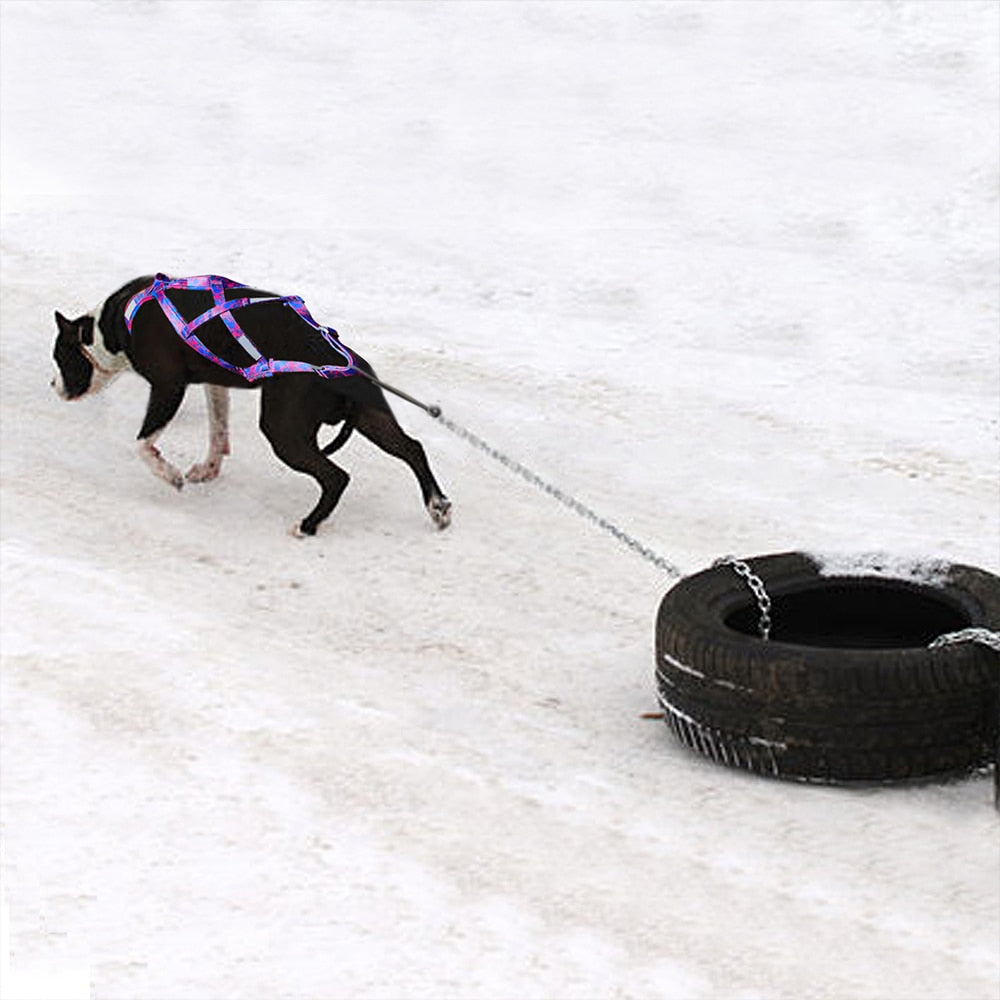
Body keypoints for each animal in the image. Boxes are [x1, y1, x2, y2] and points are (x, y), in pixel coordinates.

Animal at [50, 274, 450, 536]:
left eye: (59, 358)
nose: (53, 385)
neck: (111, 324)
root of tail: (339, 361)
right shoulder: (213, 383)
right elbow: (218, 430)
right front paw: (207, 469)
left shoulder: (168, 387)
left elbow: (143, 445)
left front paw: (170, 475)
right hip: (370, 416)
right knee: (412, 449)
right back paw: (438, 506)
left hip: (282, 431)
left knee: (336, 477)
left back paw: (309, 525)